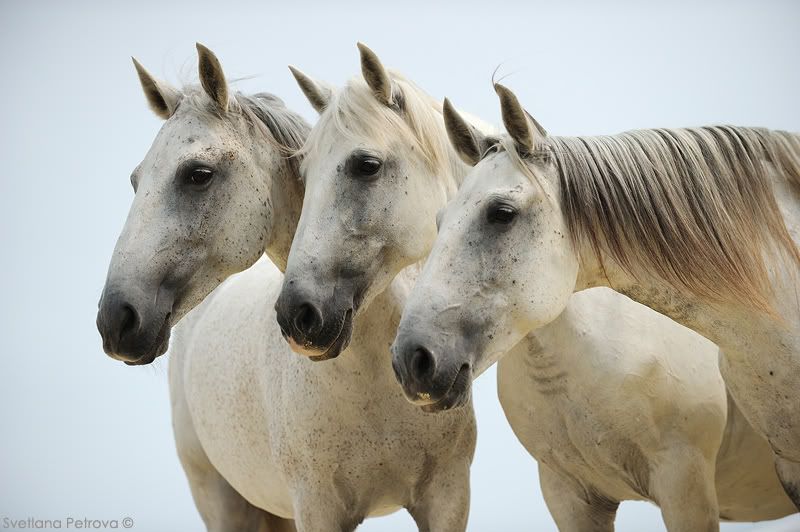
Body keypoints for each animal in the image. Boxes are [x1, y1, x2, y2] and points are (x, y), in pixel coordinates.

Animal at [98, 43, 476, 528]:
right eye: (136, 181)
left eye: (198, 174)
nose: (116, 320)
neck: (374, 378)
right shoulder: (317, 507)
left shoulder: (448, 497)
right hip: (223, 501)